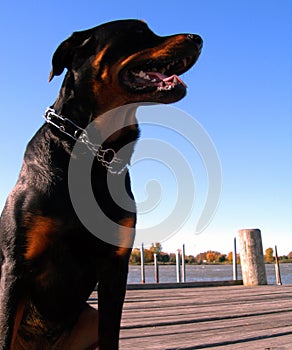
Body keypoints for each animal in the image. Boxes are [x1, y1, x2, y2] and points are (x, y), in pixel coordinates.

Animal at [0, 19, 202, 350]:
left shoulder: (114, 269)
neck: (93, 151)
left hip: (88, 316)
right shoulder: (15, 266)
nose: (198, 38)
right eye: (138, 31)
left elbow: (111, 334)